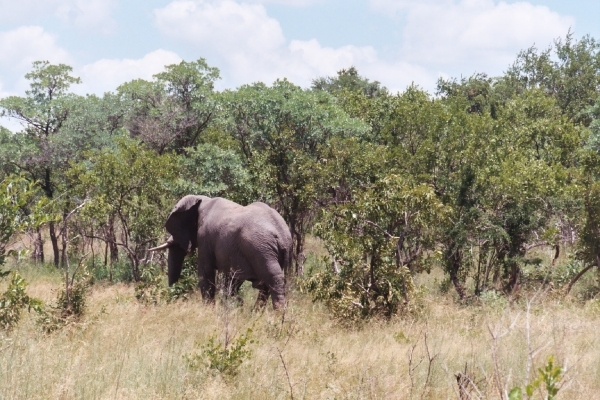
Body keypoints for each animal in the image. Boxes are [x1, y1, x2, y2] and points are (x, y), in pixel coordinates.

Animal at [149, 195, 292, 310]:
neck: (202, 200)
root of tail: (282, 234)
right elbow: (231, 279)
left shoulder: (205, 237)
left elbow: (205, 272)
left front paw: (208, 311)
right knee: (266, 285)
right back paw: (256, 314)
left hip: (261, 250)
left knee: (273, 279)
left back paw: (277, 315)